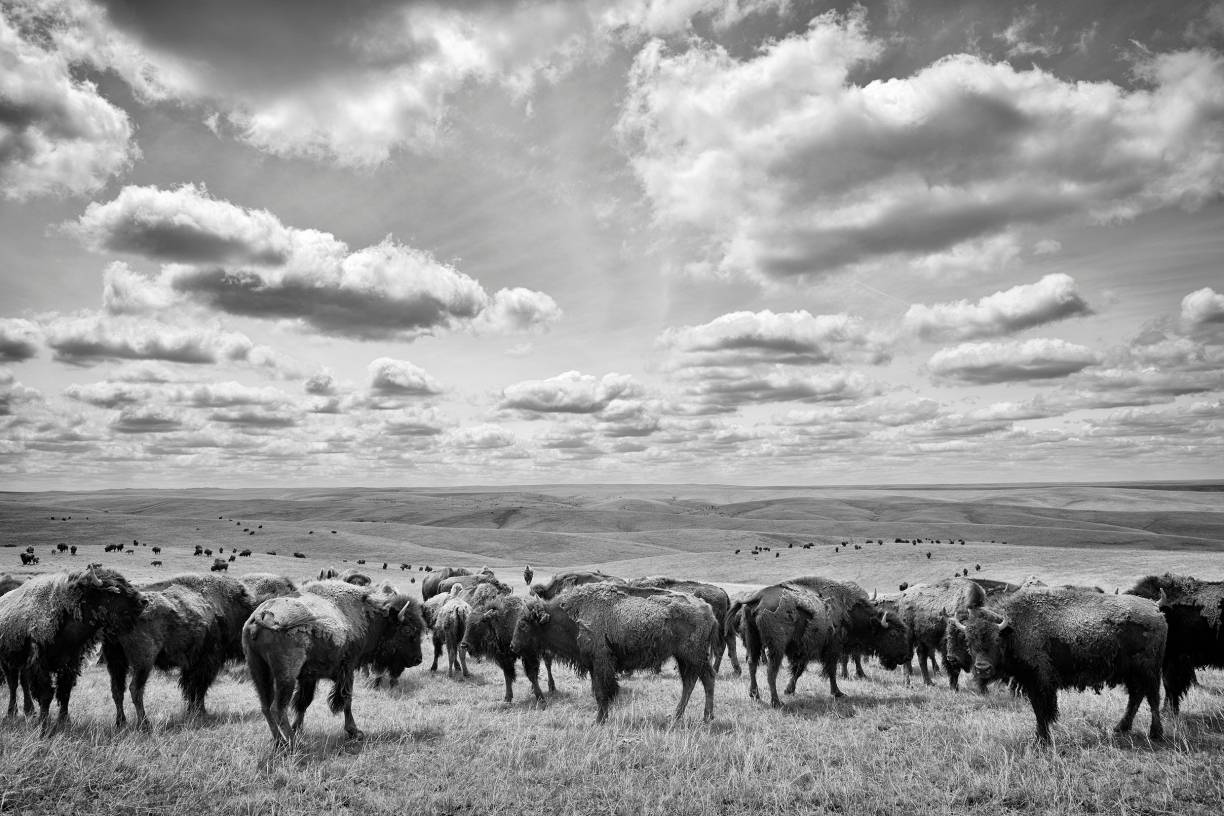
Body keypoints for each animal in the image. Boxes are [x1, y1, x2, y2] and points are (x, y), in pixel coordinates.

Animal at [241, 579, 428, 748]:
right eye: (407, 630)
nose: (418, 659)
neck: (367, 616)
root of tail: (261, 614)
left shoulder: (309, 677)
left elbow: (303, 702)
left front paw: (298, 728)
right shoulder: (347, 669)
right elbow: (346, 700)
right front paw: (355, 732)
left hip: (259, 670)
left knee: (265, 706)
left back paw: (279, 742)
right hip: (286, 676)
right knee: (277, 708)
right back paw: (295, 744)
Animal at [509, 584, 714, 724]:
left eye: (524, 624)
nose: (513, 646)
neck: (568, 617)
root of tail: (706, 608)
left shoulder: (601, 662)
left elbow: (602, 692)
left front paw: (599, 720)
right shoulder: (593, 665)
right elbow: (598, 691)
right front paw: (602, 717)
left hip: (693, 656)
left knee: (706, 679)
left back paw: (706, 717)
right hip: (684, 658)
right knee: (691, 682)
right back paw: (678, 716)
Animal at [739, 579, 847, 709]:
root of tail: (760, 595)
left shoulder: (803, 652)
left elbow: (798, 670)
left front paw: (789, 690)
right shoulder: (831, 648)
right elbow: (831, 670)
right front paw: (838, 693)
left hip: (752, 639)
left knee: (752, 663)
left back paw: (755, 695)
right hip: (777, 647)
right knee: (771, 671)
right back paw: (776, 702)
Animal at [949, 584, 1160, 743]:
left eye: (996, 639)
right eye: (968, 640)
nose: (982, 668)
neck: (1014, 628)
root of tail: (1155, 610)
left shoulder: (1040, 682)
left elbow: (1042, 711)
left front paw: (1042, 740)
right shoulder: (1031, 683)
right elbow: (1039, 710)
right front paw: (1041, 738)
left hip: (1149, 672)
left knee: (1152, 699)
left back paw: (1155, 734)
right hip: (1133, 674)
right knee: (1136, 697)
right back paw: (1121, 728)